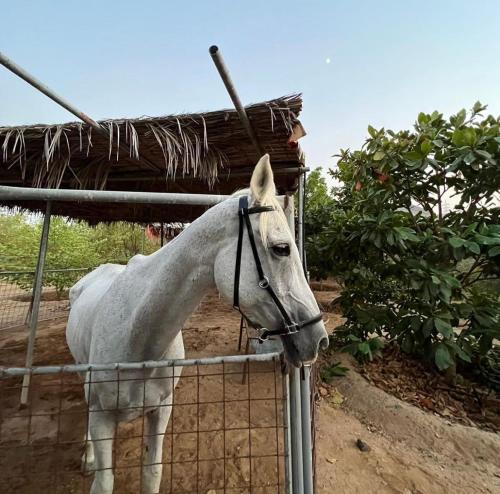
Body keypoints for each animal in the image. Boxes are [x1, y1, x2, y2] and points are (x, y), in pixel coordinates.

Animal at [65, 152, 328, 492]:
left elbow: (152, 473)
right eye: (281, 248)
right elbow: (104, 481)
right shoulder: (101, 416)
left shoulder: (161, 409)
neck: (139, 332)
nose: (320, 338)